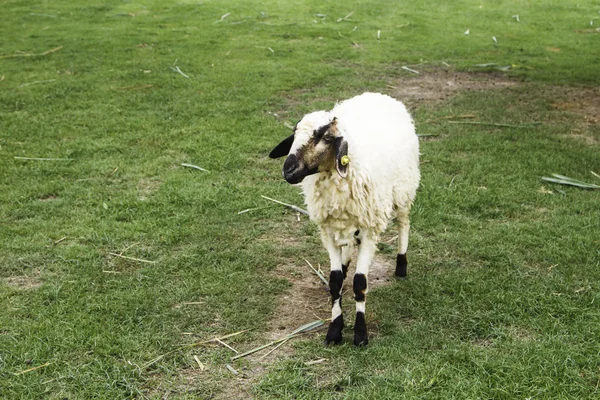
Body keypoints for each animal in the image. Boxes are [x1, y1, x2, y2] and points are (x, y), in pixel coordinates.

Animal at [270, 92, 420, 346]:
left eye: (326, 137)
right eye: (295, 132)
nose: (288, 170)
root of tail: (378, 94)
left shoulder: (370, 227)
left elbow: (360, 284)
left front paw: (360, 334)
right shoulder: (328, 231)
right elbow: (335, 281)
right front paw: (334, 329)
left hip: (403, 191)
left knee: (403, 224)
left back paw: (401, 266)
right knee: (350, 244)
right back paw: (346, 262)